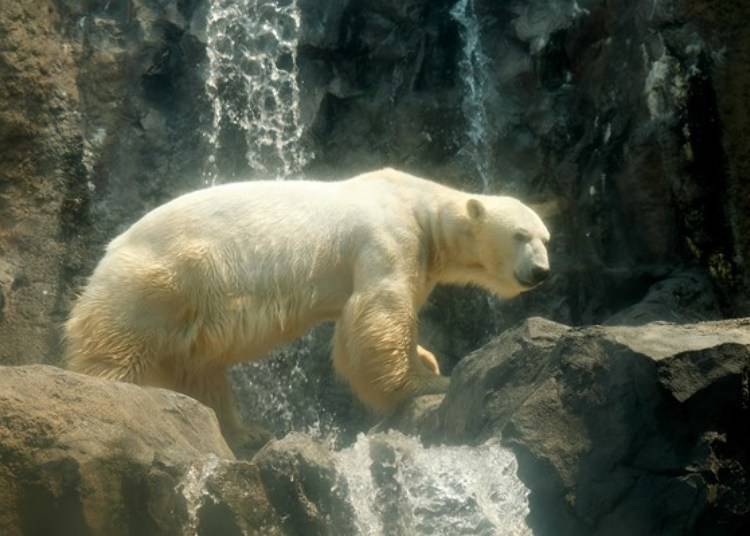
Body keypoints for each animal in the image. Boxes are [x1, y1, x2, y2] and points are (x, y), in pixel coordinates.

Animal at [64, 168, 548, 448]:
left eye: (546, 237)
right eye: (520, 235)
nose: (541, 271)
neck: (419, 205)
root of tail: (109, 251)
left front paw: (428, 360)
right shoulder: (387, 239)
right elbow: (379, 310)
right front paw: (428, 383)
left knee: (200, 371)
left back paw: (243, 432)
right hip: (161, 282)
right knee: (118, 349)